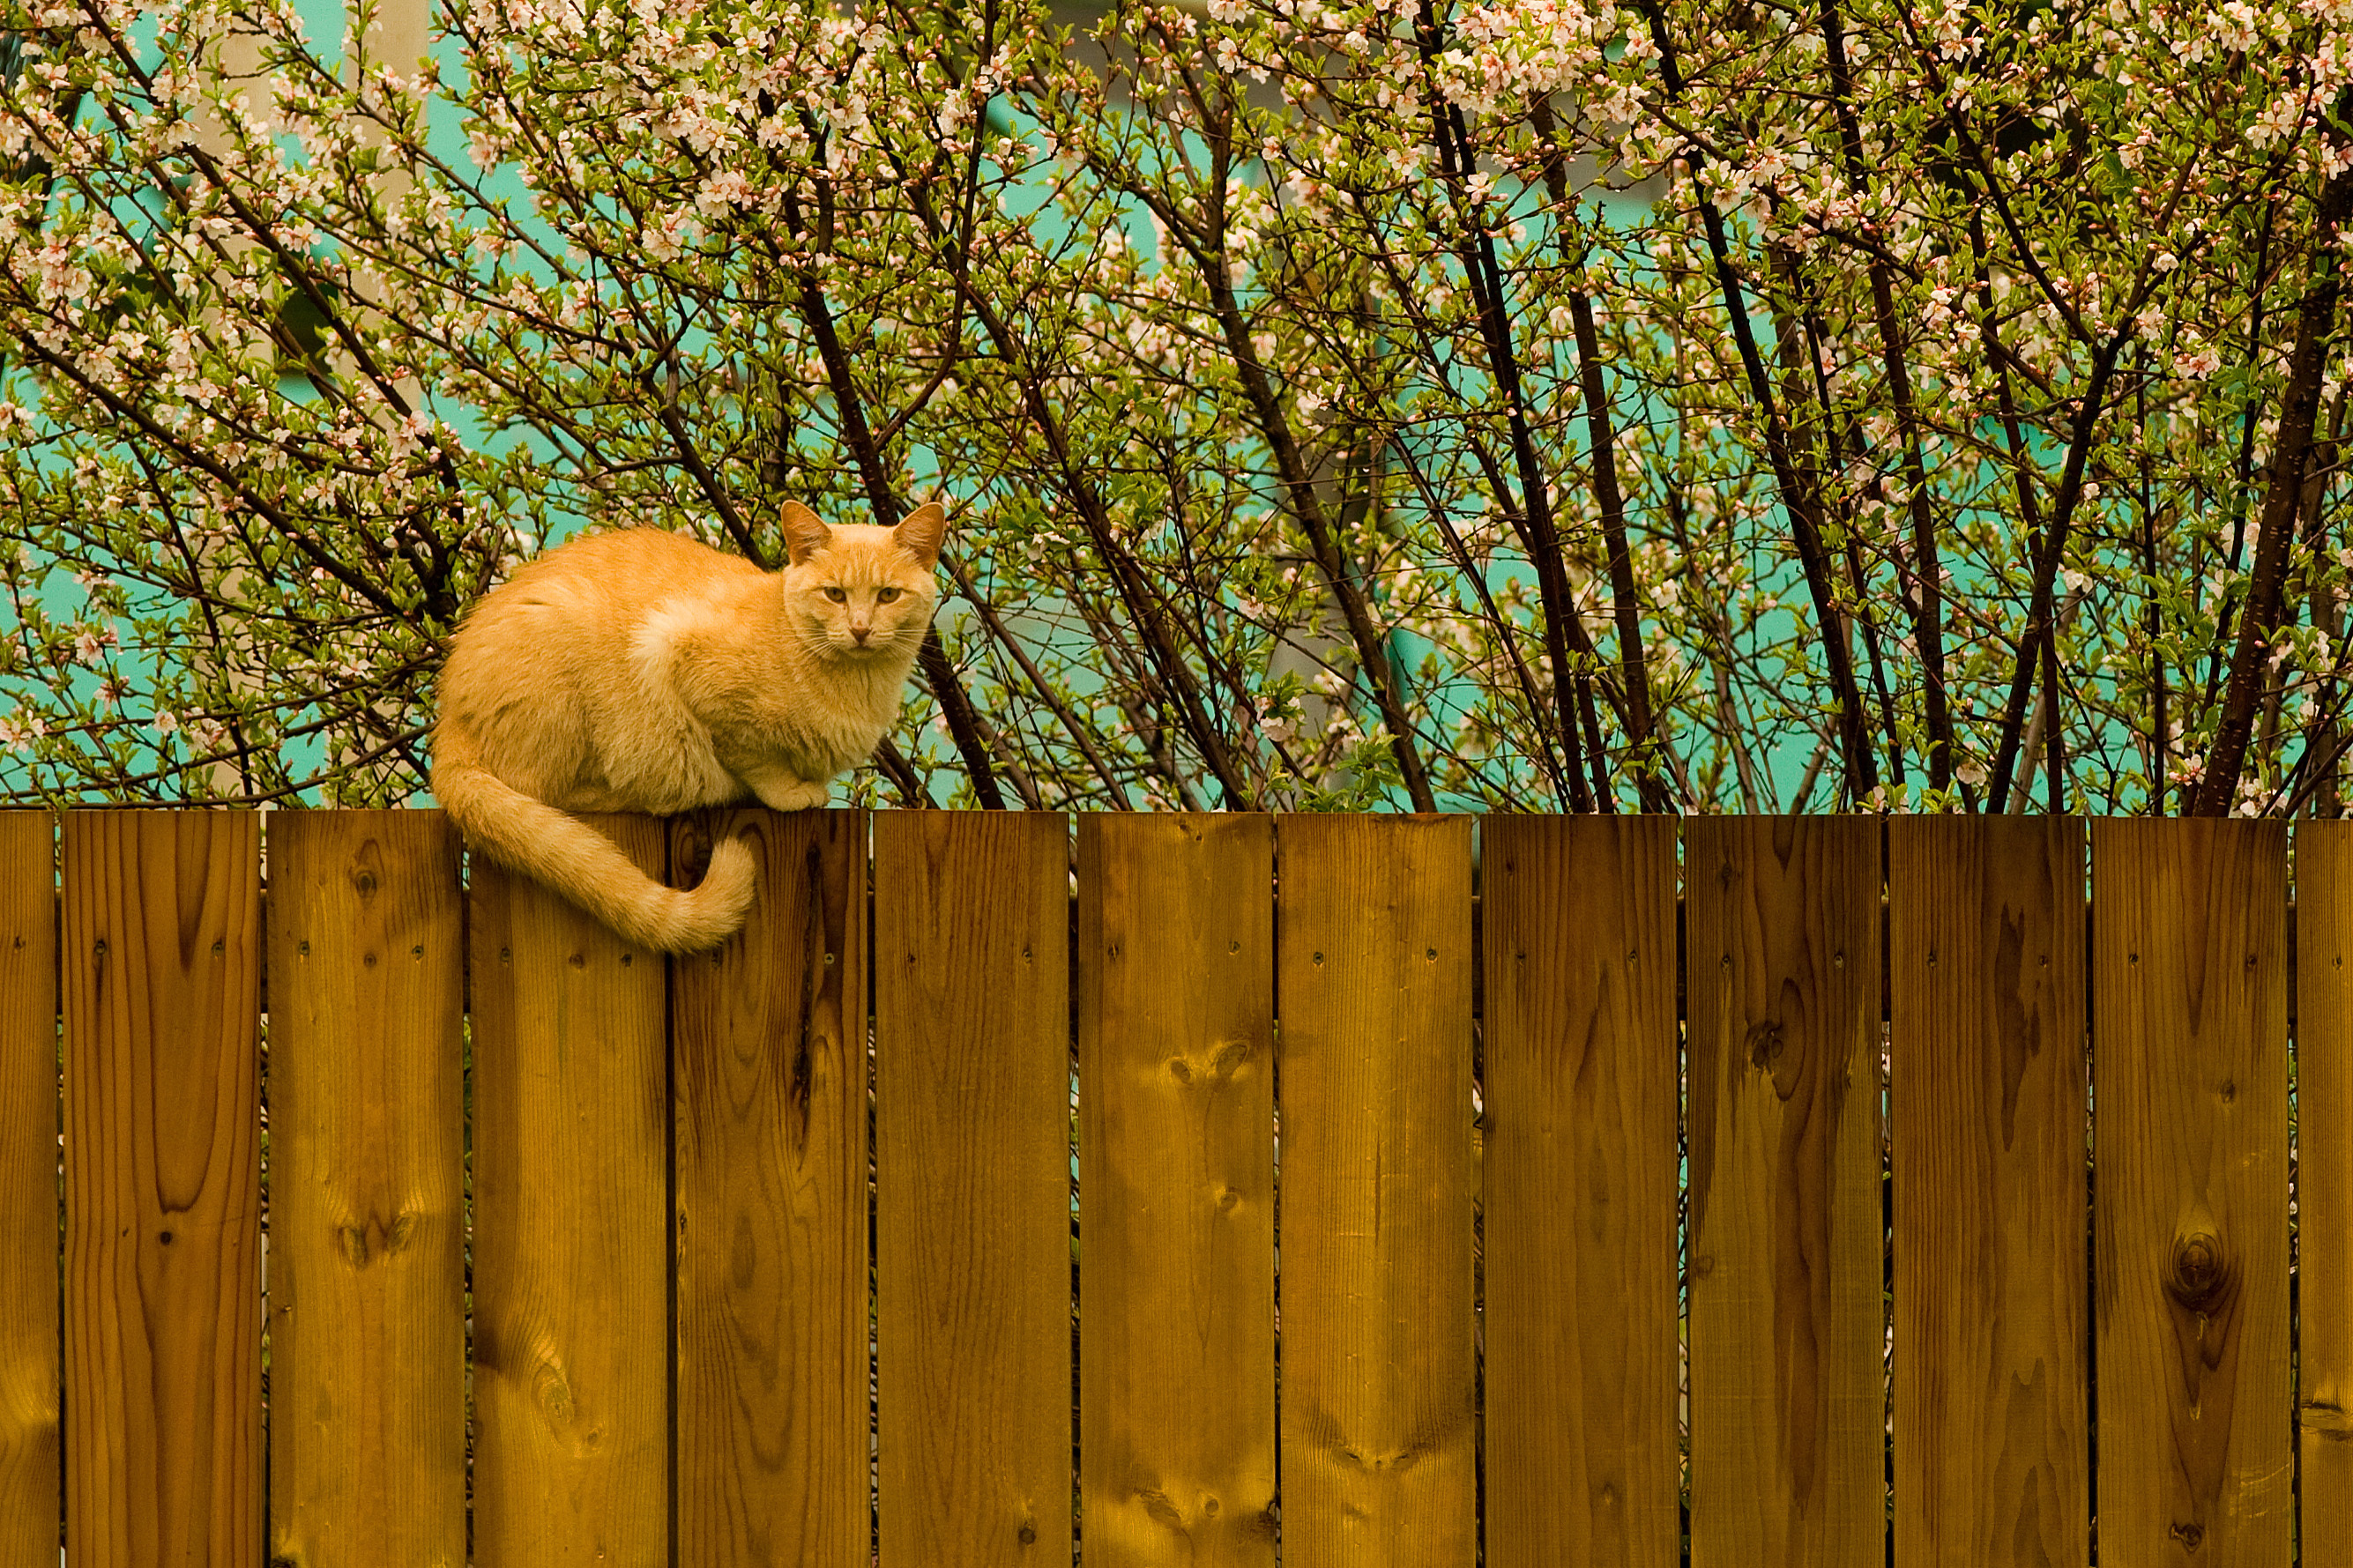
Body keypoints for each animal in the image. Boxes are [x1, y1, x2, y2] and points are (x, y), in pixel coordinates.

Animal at [433, 502, 945, 949]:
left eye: (888, 595)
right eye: (834, 594)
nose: (859, 628)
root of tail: (448, 726)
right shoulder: (679, 657)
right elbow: (756, 759)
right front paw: (788, 791)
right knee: (541, 791)